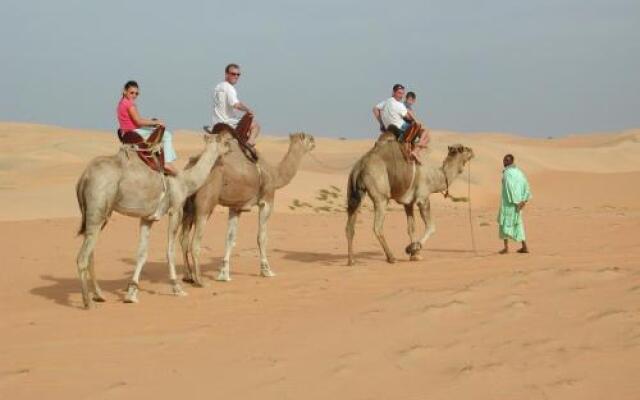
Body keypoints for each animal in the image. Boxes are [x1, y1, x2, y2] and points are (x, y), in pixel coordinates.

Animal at [75, 131, 230, 310]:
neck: (185, 181)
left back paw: (99, 295)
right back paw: (88, 302)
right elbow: (170, 250)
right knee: (82, 257)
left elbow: (142, 253)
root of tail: (84, 177)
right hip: (98, 205)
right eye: (224, 140)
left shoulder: (147, 218)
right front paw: (176, 287)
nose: (230, 146)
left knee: (90, 252)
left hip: (101, 213)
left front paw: (131, 293)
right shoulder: (176, 209)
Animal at [180, 131, 316, 284]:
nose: (315, 142)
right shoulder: (267, 200)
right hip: (206, 202)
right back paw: (199, 280)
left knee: (183, 240)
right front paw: (267, 271)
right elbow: (261, 237)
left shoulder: (236, 207)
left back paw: (188, 276)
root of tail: (192, 163)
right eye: (310, 138)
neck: (275, 175)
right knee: (195, 240)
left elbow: (230, 238)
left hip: (188, 205)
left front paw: (224, 274)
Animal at [344, 138, 476, 266]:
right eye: (464, 148)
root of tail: (360, 167)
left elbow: (411, 228)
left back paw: (351, 261)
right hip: (381, 196)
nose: (472, 151)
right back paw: (391, 258)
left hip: (354, 193)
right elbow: (431, 226)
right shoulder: (423, 198)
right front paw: (412, 248)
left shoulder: (408, 203)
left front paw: (415, 255)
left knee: (350, 226)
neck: (435, 177)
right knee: (377, 227)